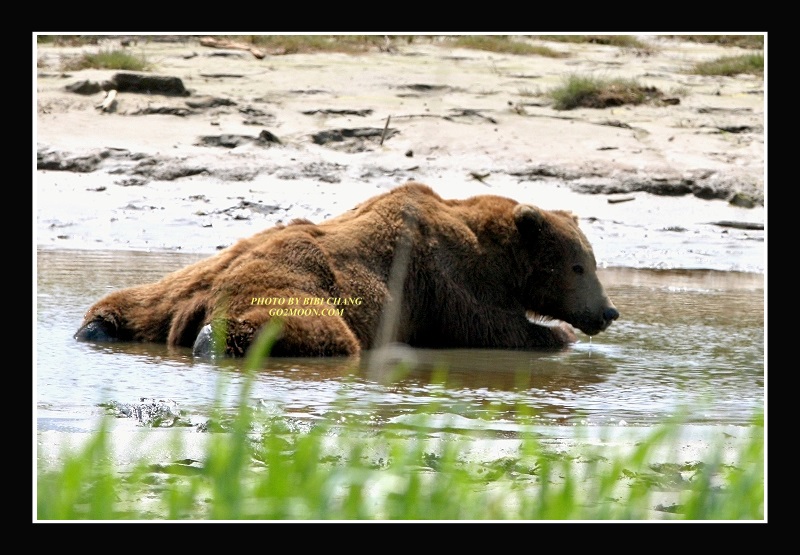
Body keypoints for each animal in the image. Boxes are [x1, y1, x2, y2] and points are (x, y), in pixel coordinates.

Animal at [74, 182, 619, 357]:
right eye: (579, 266)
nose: (609, 311)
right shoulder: (449, 279)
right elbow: (495, 328)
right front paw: (560, 333)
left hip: (182, 280)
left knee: (133, 302)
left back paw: (98, 326)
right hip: (296, 284)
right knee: (311, 328)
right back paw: (218, 339)